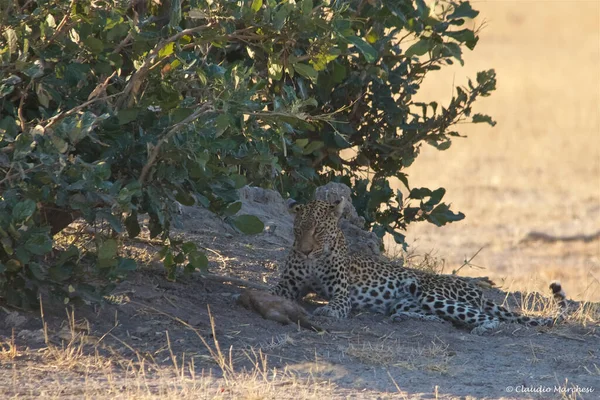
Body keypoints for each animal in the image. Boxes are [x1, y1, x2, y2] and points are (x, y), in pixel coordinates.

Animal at [272, 198, 568, 334]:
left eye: (319, 231)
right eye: (298, 230)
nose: (305, 250)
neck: (315, 259)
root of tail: (476, 290)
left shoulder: (342, 294)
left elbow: (336, 304)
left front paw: (326, 312)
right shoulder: (288, 285)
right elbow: (274, 293)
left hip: (432, 295)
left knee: (487, 318)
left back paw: (482, 328)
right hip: (411, 302)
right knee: (441, 318)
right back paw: (405, 317)